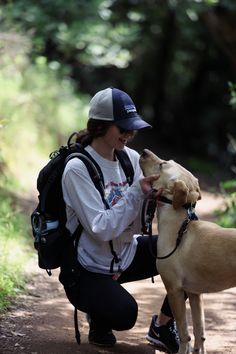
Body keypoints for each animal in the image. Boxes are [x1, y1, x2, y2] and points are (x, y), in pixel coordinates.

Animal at [139, 149, 236, 354]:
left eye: (163, 164)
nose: (143, 151)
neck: (180, 225)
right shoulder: (194, 294)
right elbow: (200, 333)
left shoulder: (174, 290)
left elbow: (185, 333)